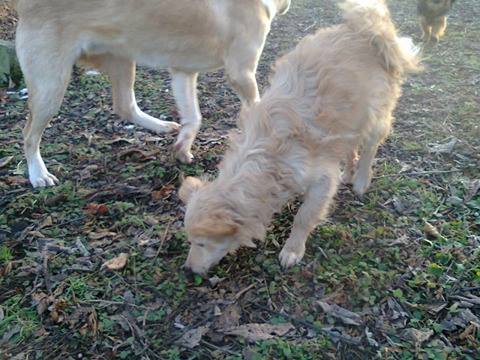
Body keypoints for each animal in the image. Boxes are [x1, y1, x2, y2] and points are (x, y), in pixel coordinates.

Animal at [13, 1, 290, 188]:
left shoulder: (183, 73)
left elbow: (194, 118)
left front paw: (182, 146)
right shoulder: (241, 74)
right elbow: (256, 108)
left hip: (122, 60)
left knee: (124, 105)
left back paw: (160, 126)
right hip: (51, 85)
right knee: (29, 134)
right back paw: (38, 173)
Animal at [179, 0, 420, 274]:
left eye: (201, 243)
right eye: (190, 241)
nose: (187, 270)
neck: (264, 158)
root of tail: (366, 32)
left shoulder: (322, 180)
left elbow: (304, 217)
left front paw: (293, 249)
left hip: (374, 117)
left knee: (369, 148)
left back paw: (360, 181)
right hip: (350, 120)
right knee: (350, 147)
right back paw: (349, 173)